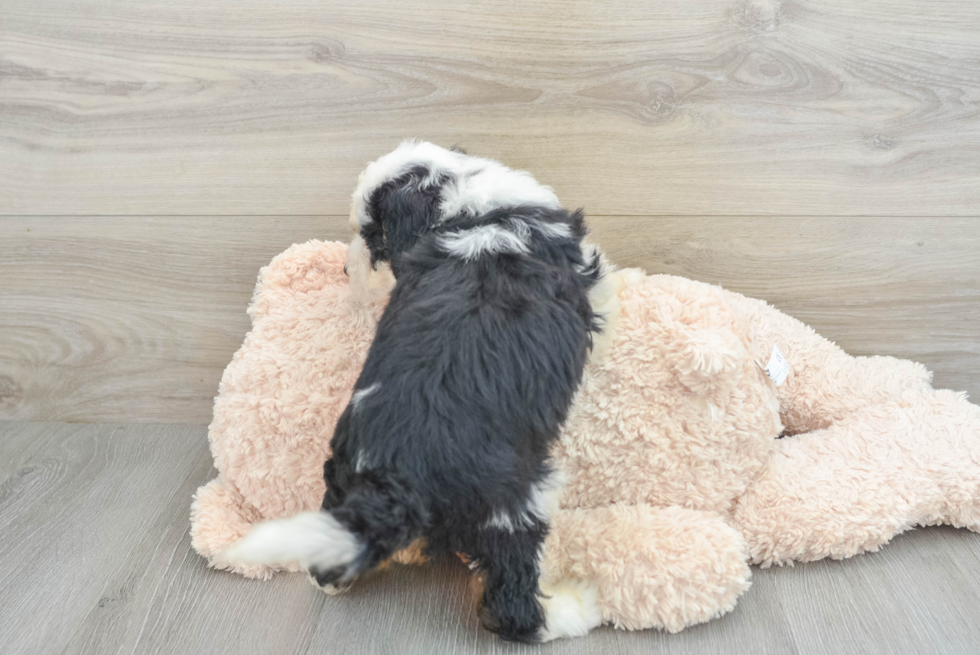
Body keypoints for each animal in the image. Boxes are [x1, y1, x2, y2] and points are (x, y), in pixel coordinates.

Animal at [223, 141, 604, 644]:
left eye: (374, 236)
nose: (344, 268)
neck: (475, 209)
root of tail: (395, 473)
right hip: (512, 502)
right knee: (512, 597)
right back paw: (574, 610)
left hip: (341, 477)